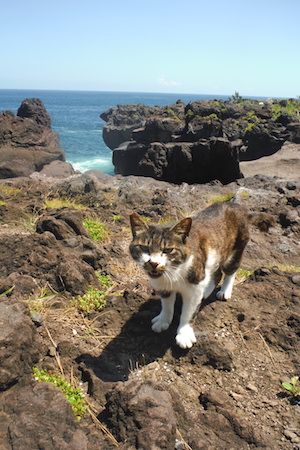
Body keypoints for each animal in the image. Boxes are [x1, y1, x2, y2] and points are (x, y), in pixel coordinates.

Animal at [128, 202, 248, 350]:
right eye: (144, 248)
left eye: (168, 250)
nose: (154, 263)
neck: (174, 272)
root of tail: (233, 203)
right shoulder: (163, 287)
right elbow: (167, 305)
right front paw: (163, 321)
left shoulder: (193, 286)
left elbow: (188, 312)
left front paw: (184, 335)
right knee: (216, 273)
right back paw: (206, 290)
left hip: (236, 248)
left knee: (230, 270)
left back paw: (225, 291)